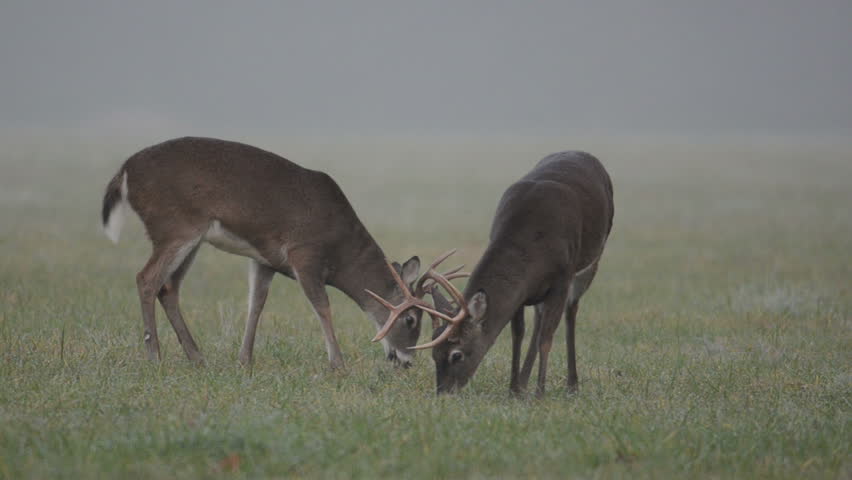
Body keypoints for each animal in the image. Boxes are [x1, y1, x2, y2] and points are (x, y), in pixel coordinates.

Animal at [100, 136, 450, 369]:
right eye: (410, 319)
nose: (406, 360)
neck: (340, 249)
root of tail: (124, 171)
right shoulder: (303, 253)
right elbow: (322, 306)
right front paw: (338, 364)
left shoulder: (264, 258)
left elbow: (256, 304)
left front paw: (244, 360)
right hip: (176, 226)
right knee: (146, 278)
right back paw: (155, 357)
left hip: (189, 237)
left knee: (168, 288)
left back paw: (198, 357)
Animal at [371, 151, 613, 395]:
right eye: (434, 354)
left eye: (456, 355)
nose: (443, 393)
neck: (532, 242)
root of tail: (581, 153)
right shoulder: (522, 291)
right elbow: (518, 333)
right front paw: (515, 390)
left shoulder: (562, 278)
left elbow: (547, 337)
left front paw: (539, 394)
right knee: (539, 317)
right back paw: (525, 379)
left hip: (593, 257)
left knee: (571, 311)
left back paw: (572, 385)